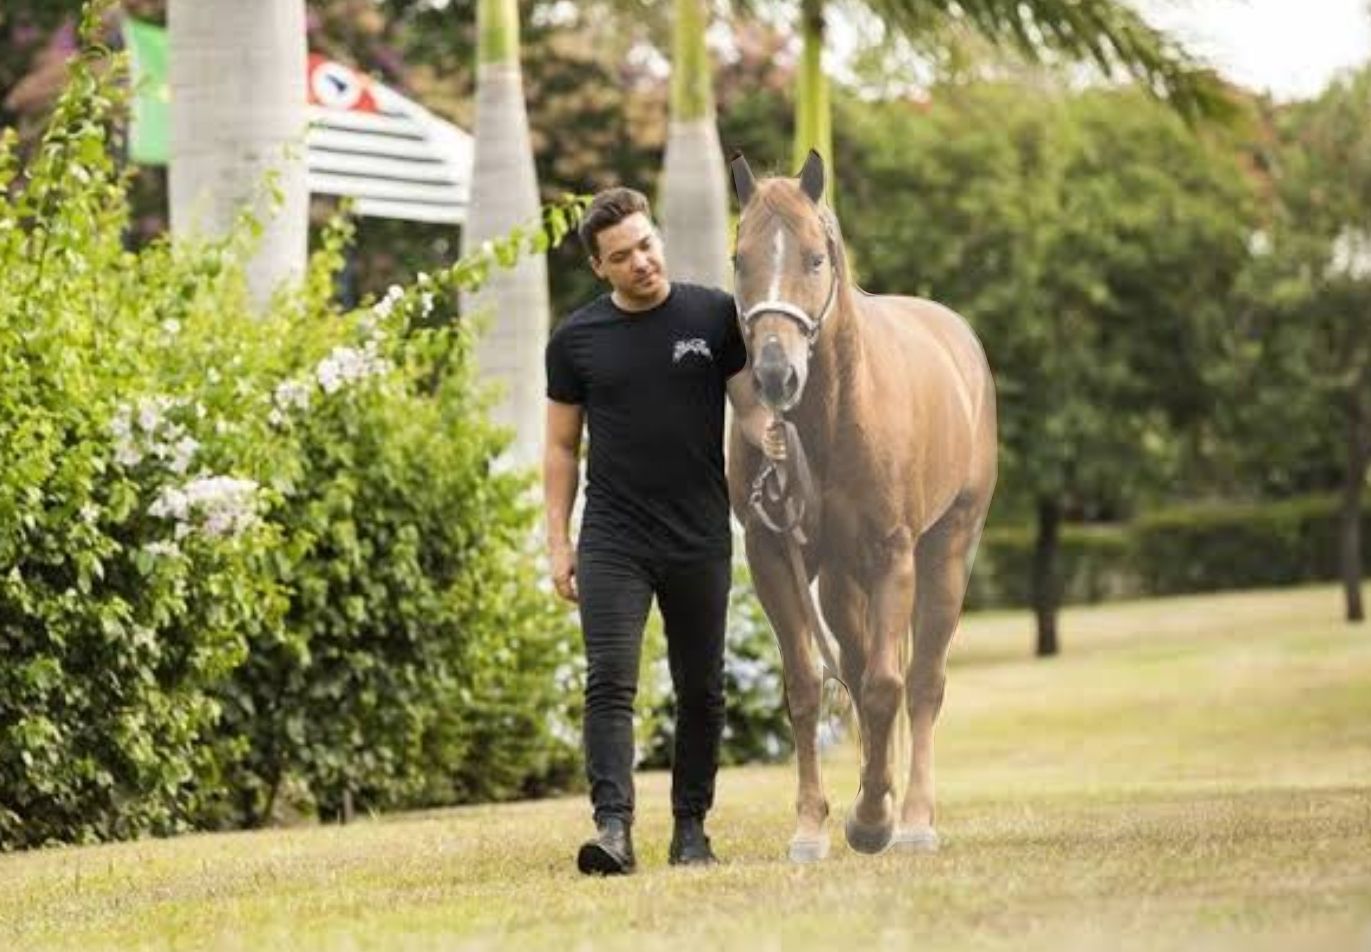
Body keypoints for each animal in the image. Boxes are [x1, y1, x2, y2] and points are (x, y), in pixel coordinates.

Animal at [729, 150, 998, 866]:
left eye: (815, 257)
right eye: (739, 258)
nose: (775, 376)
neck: (832, 416)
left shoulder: (892, 554)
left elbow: (887, 686)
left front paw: (875, 820)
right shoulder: (773, 554)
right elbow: (807, 684)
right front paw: (814, 826)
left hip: (946, 552)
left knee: (922, 681)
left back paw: (914, 817)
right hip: (838, 579)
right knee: (853, 668)